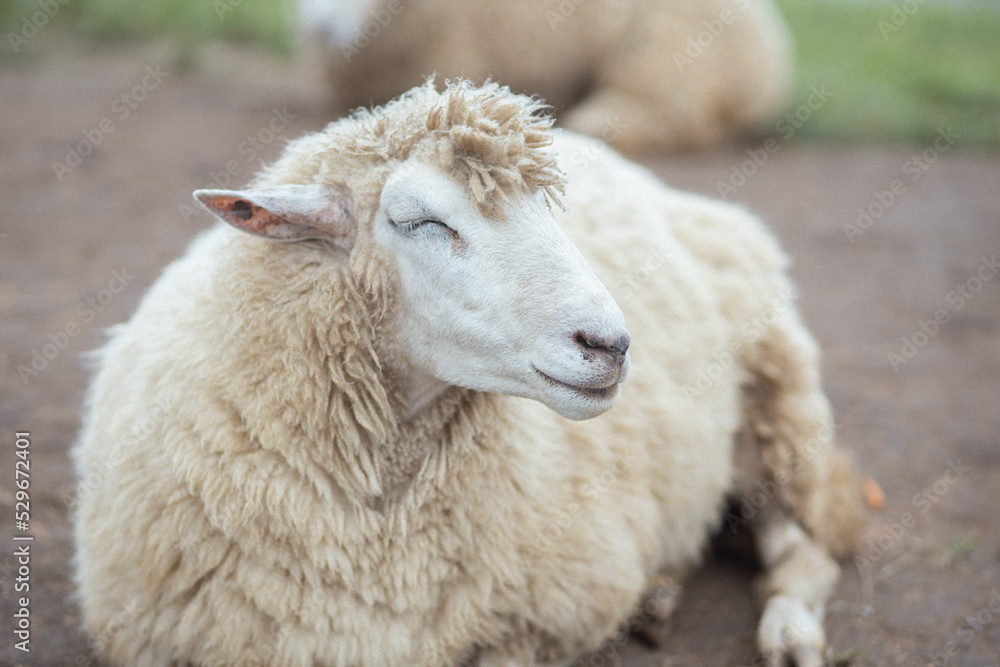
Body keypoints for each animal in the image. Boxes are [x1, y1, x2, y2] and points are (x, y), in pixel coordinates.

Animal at [74, 81, 864, 664]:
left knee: (805, 549)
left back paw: (788, 633)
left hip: (776, 397)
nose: (610, 343)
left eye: (550, 209)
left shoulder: (547, 615)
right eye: (421, 221)